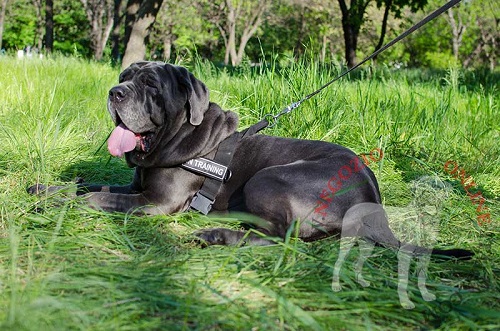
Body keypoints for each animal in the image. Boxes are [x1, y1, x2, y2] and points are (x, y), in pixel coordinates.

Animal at [26, 62, 472, 256]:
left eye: (151, 85)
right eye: (124, 75)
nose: (115, 91)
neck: (182, 134)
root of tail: (374, 201)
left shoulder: (157, 203)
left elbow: (97, 197)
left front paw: (57, 205)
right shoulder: (136, 187)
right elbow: (88, 184)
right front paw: (44, 187)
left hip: (270, 178)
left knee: (282, 238)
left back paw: (216, 236)